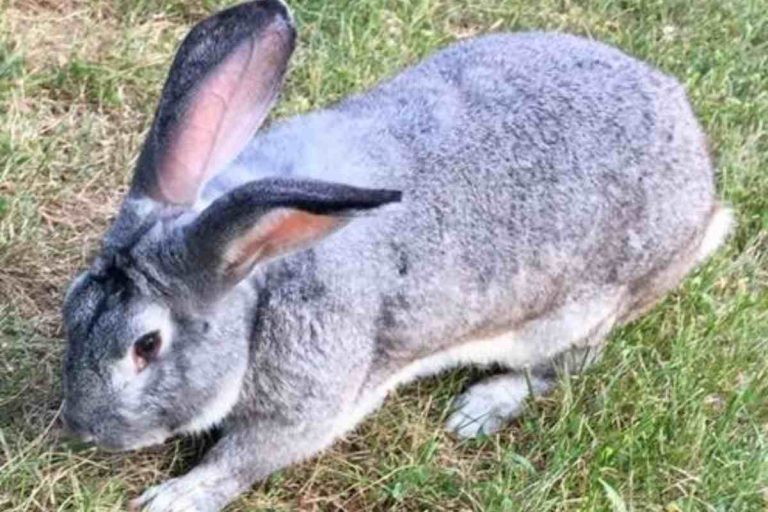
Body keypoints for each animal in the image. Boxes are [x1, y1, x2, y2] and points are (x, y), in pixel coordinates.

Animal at [60, 1, 732, 510]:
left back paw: (479, 409)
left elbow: (242, 459)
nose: (81, 427)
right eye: (71, 306)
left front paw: (172, 498)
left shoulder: (307, 407)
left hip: (576, 313)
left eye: (147, 346)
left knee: (560, 369)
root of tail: (702, 193)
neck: (259, 280)